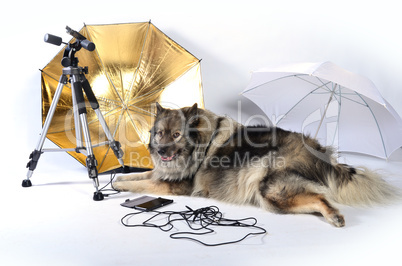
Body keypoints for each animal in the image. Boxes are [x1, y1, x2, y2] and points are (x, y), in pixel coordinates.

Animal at [114, 103, 398, 228]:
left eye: (176, 135)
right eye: (160, 134)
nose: (162, 150)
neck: (201, 141)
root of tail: (322, 153)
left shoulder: (176, 186)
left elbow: (144, 184)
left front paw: (121, 185)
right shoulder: (162, 173)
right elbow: (145, 175)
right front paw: (119, 180)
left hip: (268, 186)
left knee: (319, 198)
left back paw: (334, 216)